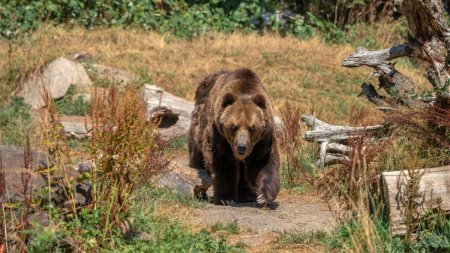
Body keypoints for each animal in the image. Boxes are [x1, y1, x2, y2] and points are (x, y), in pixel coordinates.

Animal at [185, 68, 278, 207]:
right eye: (233, 126)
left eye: (252, 127)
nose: (241, 147)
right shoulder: (219, 136)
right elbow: (223, 164)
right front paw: (226, 198)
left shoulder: (262, 141)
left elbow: (263, 163)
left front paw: (263, 196)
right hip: (200, 121)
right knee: (196, 149)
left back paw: (247, 195)